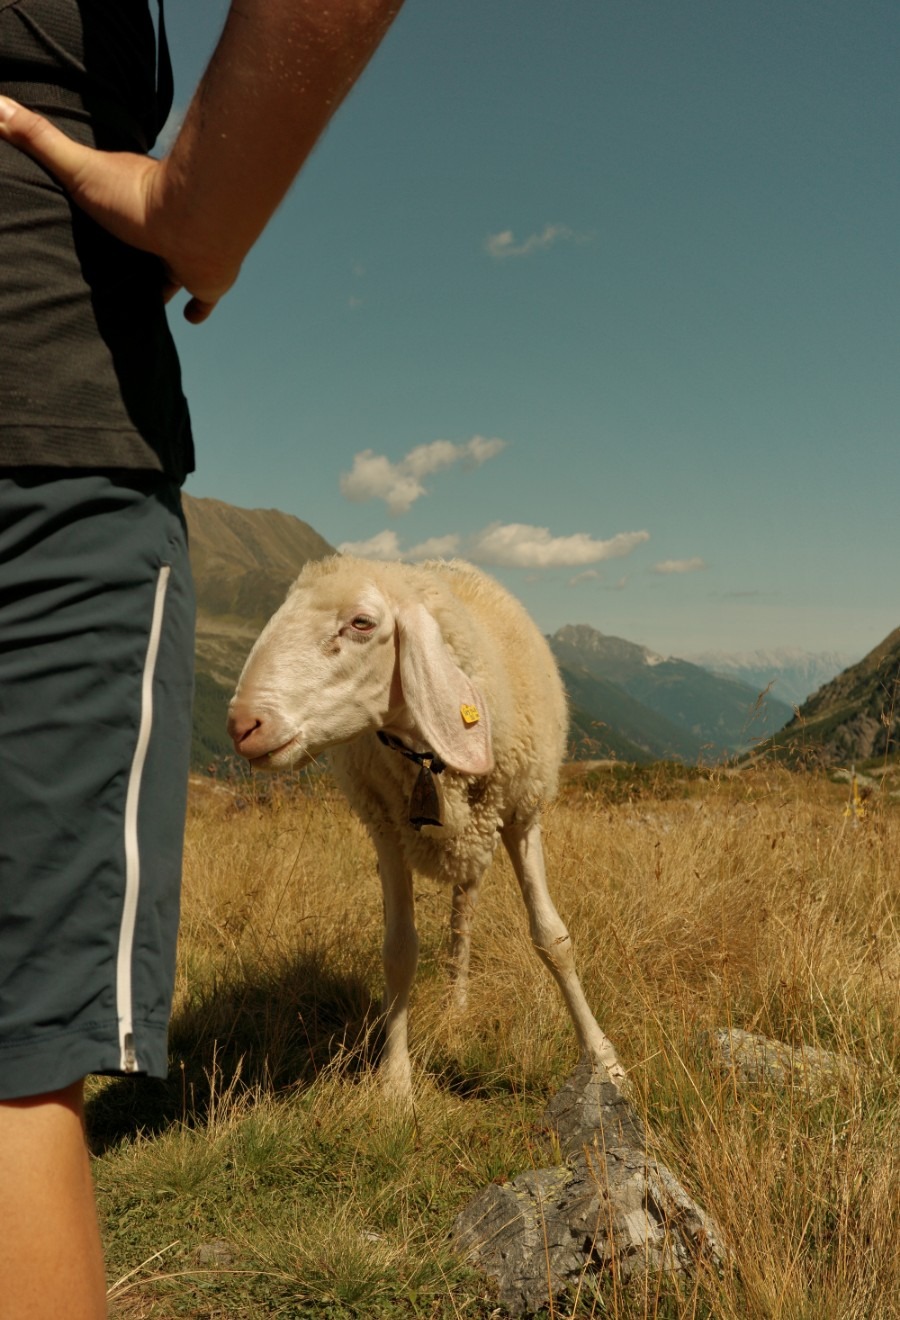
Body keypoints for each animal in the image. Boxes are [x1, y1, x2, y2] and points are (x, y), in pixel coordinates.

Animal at [227, 554, 627, 1095]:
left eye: (362, 623)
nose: (242, 725)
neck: (425, 757)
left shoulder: (523, 816)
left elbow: (553, 940)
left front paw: (602, 1058)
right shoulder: (387, 829)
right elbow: (399, 952)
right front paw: (395, 1080)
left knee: (464, 917)